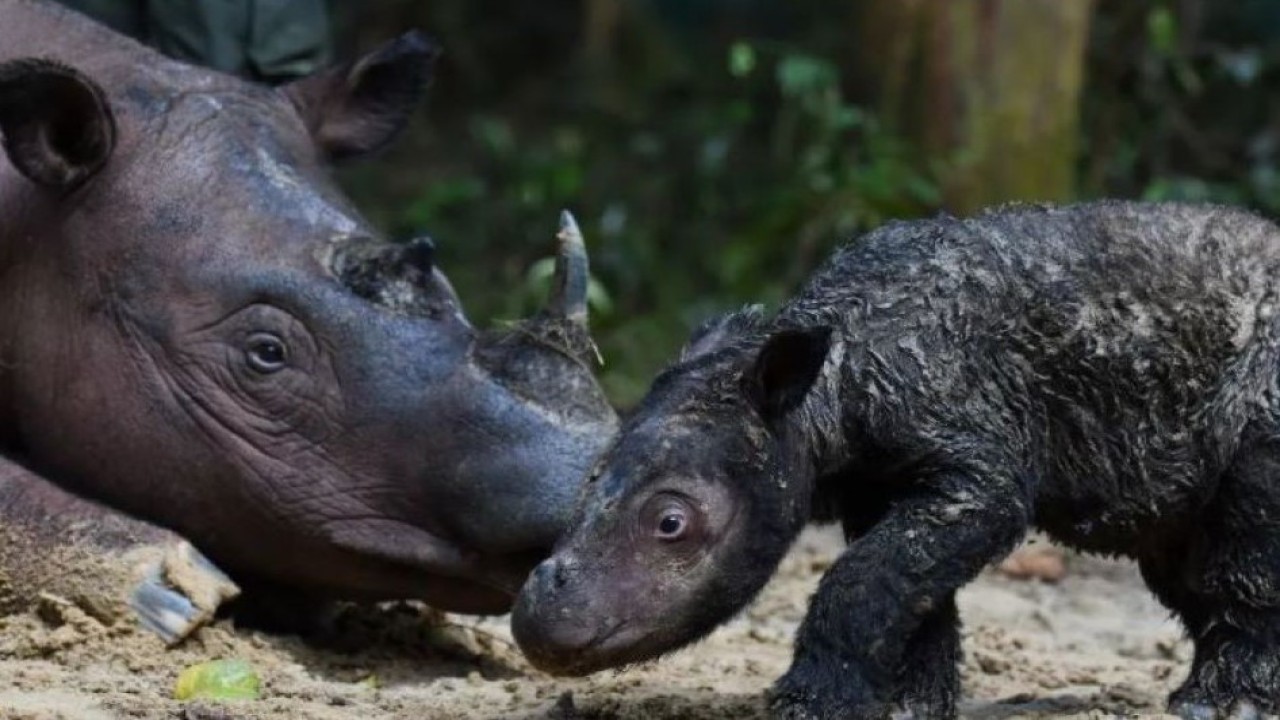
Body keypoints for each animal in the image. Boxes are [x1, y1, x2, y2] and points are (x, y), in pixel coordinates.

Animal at [514, 199, 1280, 717]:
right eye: (584, 481)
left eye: (671, 524)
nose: (535, 622)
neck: (823, 388)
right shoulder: (875, 483)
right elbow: (908, 586)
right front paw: (904, 706)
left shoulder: (976, 469)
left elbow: (861, 579)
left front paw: (807, 704)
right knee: (1182, 553)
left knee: (1244, 530)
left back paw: (1218, 704)